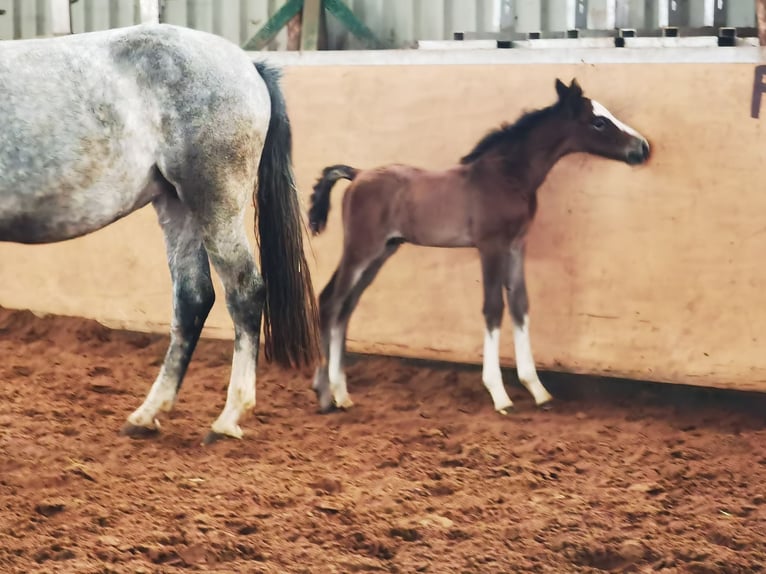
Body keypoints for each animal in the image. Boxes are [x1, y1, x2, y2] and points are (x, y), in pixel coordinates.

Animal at [0, 22, 320, 446]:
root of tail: (248, 65)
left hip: (214, 202)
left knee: (245, 292)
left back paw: (228, 418)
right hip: (176, 206)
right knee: (193, 298)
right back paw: (148, 414)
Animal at [308, 79, 652, 416]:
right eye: (598, 122)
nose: (643, 148)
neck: (506, 176)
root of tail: (357, 174)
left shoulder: (516, 246)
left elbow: (520, 306)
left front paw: (538, 390)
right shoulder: (491, 247)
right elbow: (493, 308)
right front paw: (499, 394)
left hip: (383, 251)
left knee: (347, 306)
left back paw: (342, 394)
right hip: (360, 249)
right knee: (330, 301)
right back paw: (325, 394)